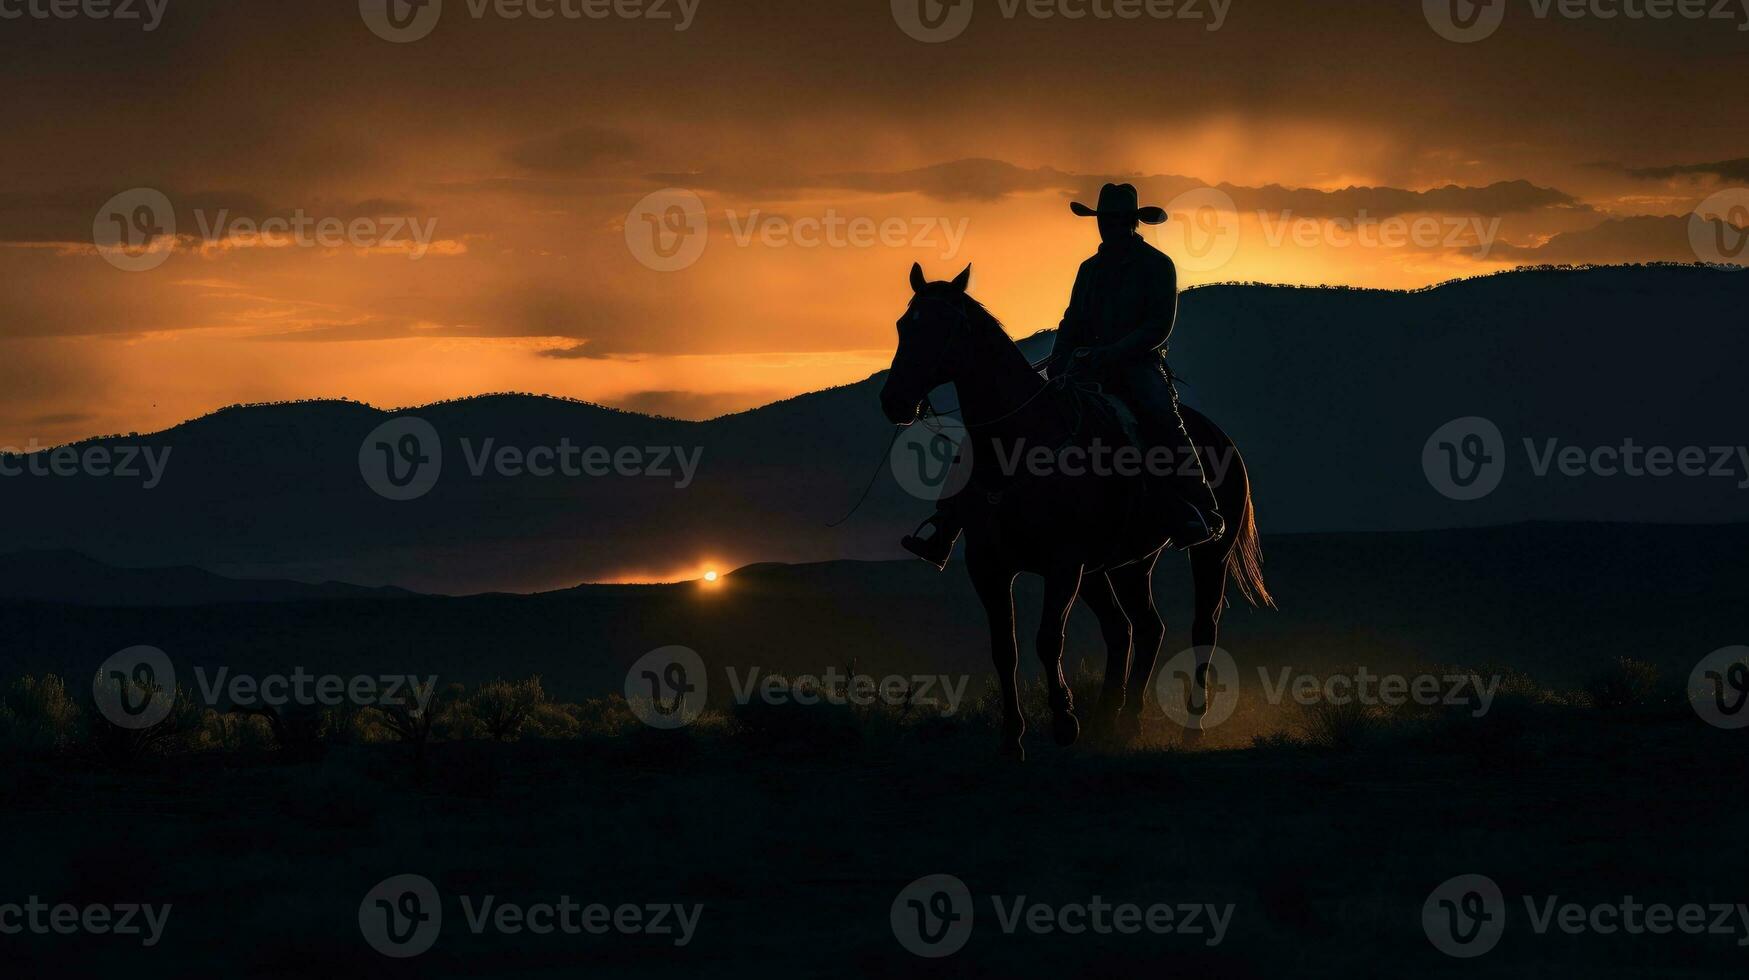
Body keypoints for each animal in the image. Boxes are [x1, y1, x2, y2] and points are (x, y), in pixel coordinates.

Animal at [874, 264, 1273, 763]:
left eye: (948, 327)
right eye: (903, 326)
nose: (894, 401)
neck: (1021, 444)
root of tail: (1222, 439)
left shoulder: (1063, 564)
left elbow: (1048, 639)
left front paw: (1064, 722)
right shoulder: (989, 568)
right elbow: (1005, 649)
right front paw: (1012, 739)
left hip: (1208, 555)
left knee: (1201, 628)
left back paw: (1189, 728)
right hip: (1123, 565)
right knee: (1138, 629)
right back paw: (1119, 720)